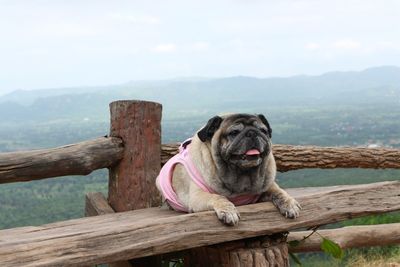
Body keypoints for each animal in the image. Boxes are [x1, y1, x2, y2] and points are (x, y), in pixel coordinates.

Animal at [156, 113, 300, 226]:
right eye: (234, 133)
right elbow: (217, 197)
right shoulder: (198, 197)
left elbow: (279, 192)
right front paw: (229, 211)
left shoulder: (268, 186)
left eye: (263, 131)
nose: (252, 132)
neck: (242, 174)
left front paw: (290, 204)